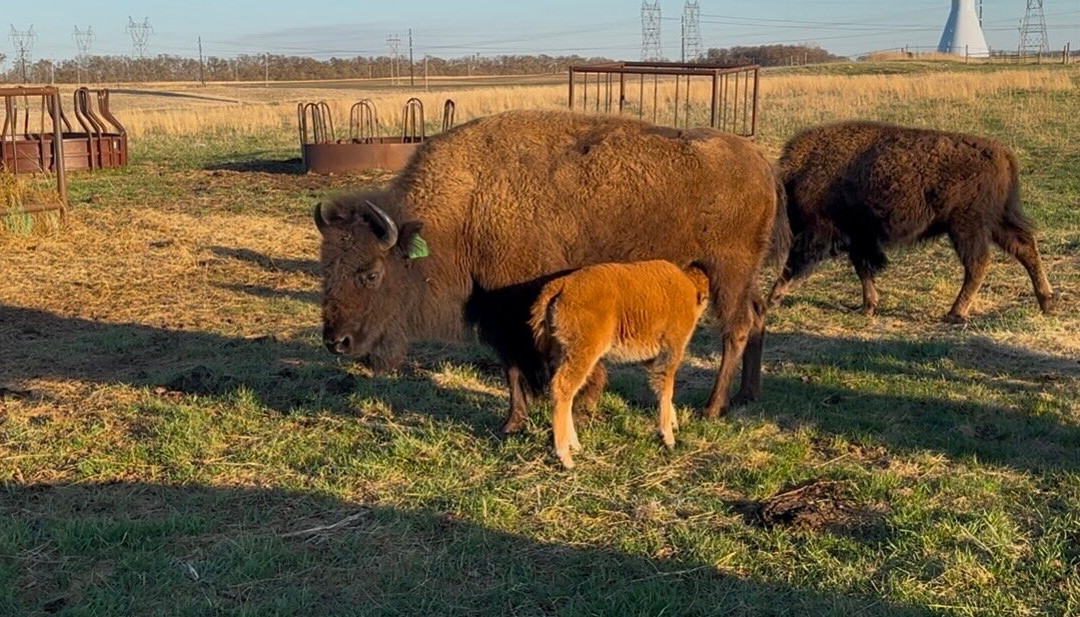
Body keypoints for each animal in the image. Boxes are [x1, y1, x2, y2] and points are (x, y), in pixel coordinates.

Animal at [315, 110, 786, 432]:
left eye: (371, 273)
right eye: (325, 270)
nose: (336, 342)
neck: (468, 206)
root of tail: (761, 163)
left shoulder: (519, 305)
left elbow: (536, 360)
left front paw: (578, 405)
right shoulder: (497, 312)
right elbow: (512, 365)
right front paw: (514, 422)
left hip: (728, 271)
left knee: (736, 327)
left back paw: (712, 406)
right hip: (743, 275)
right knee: (758, 315)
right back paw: (748, 395)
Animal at [768, 120, 1055, 321]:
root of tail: (1002, 153)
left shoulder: (824, 233)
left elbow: (794, 264)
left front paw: (773, 298)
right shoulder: (859, 239)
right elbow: (863, 269)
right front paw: (868, 307)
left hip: (966, 226)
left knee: (978, 263)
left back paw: (955, 313)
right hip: (994, 224)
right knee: (1024, 249)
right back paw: (1047, 302)